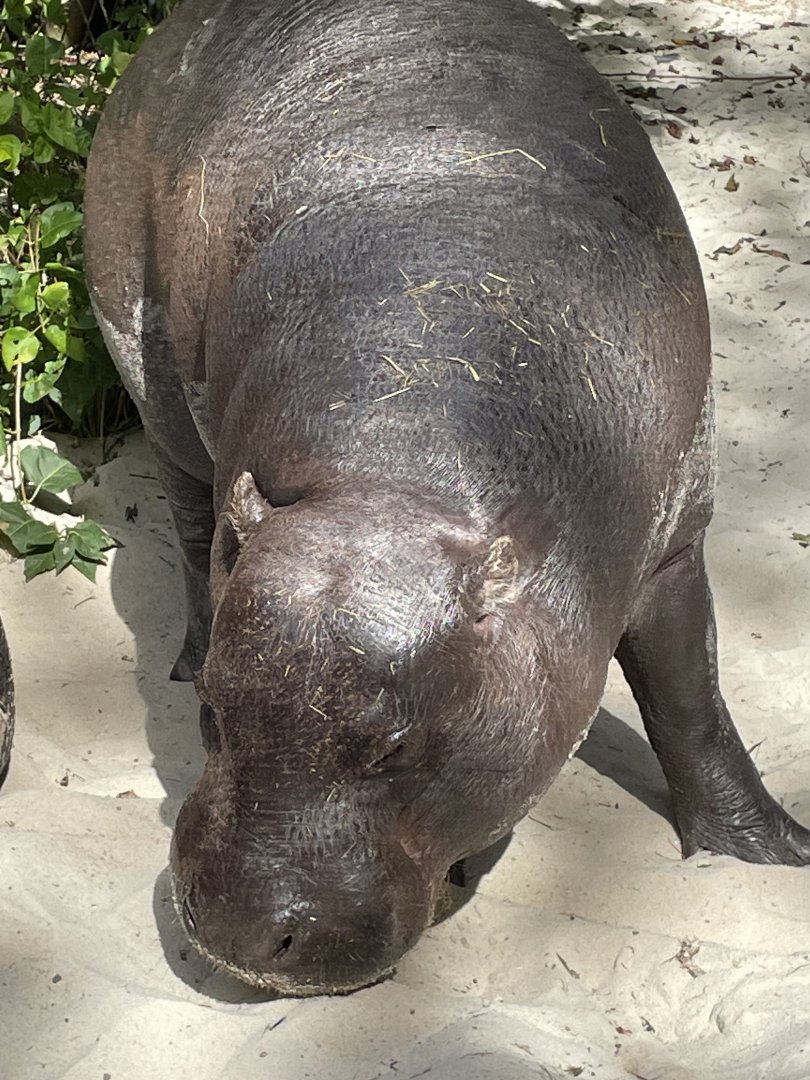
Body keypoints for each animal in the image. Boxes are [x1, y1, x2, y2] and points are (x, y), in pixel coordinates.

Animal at [83, 0, 810, 996]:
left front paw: (771, 857)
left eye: (397, 746)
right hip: (148, 375)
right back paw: (187, 648)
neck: (397, 481)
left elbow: (690, 698)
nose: (236, 931)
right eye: (213, 719)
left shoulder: (671, 543)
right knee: (193, 528)